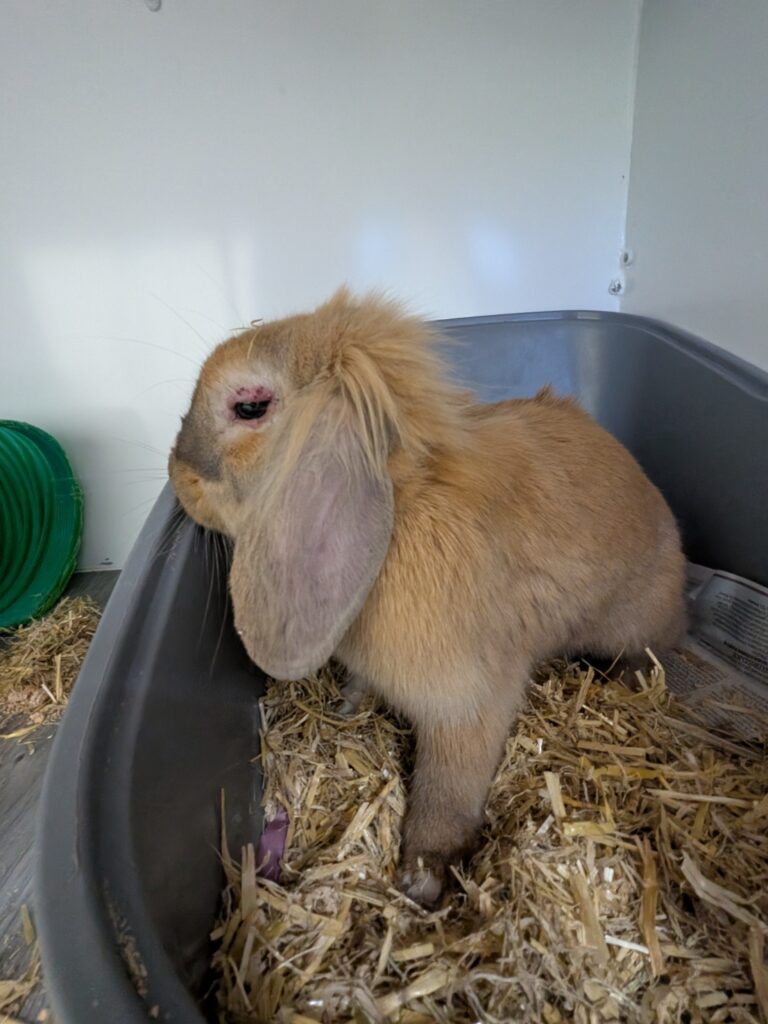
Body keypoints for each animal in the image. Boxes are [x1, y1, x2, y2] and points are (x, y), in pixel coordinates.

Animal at [168, 287, 687, 907]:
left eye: (249, 408)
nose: (177, 475)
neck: (397, 511)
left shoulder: (466, 708)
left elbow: (447, 792)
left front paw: (422, 877)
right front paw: (348, 706)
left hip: (636, 624)